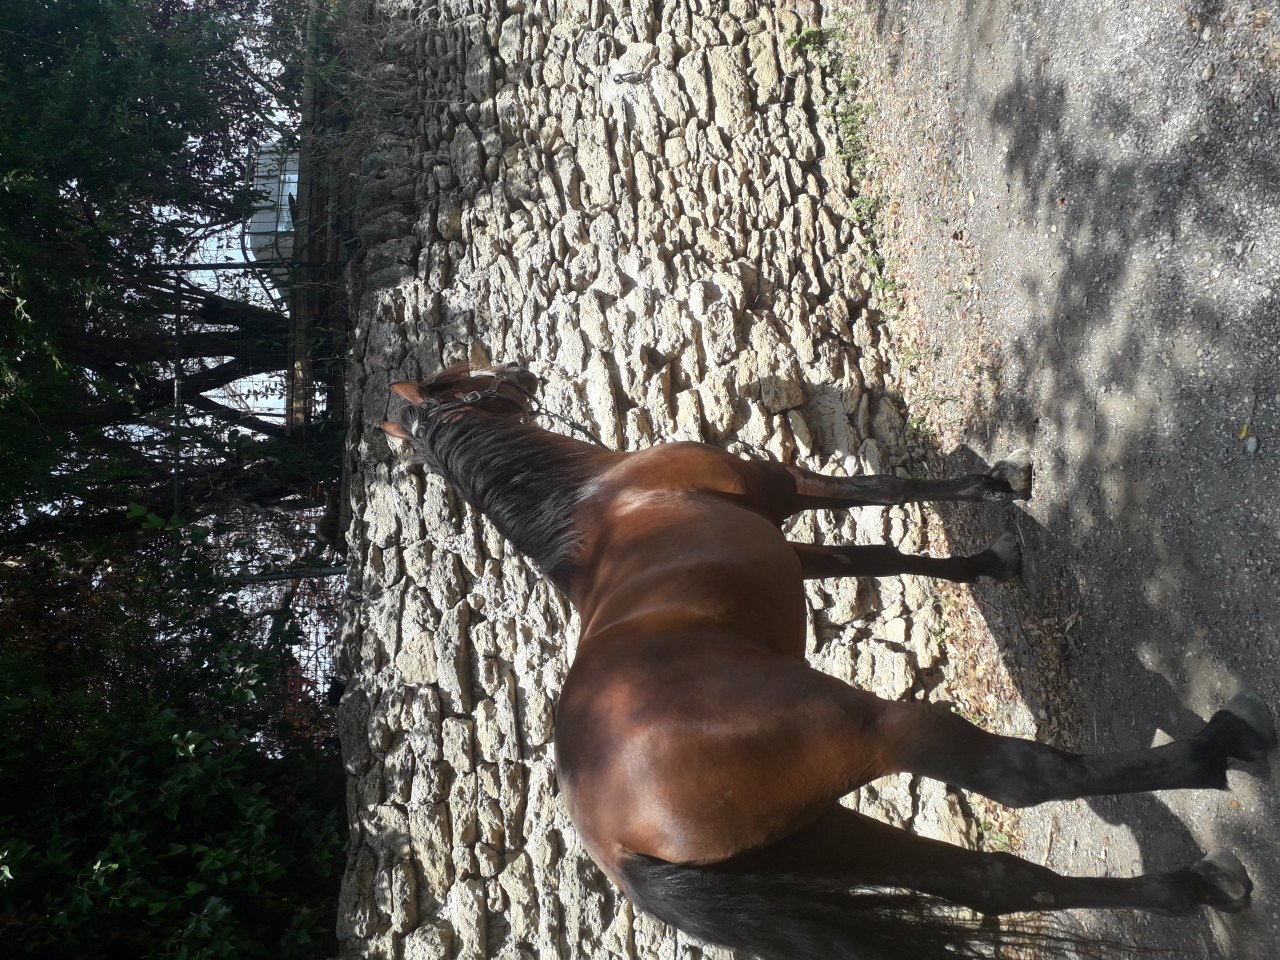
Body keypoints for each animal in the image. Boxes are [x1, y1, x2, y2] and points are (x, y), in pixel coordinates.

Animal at [381, 361, 1274, 959]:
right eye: (463, 377)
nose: (520, 371)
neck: (594, 504)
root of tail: (619, 847)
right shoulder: (779, 486)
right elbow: (877, 494)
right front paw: (994, 485)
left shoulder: (790, 548)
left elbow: (873, 554)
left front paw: (987, 561)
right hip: (871, 729)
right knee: (1020, 779)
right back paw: (1218, 750)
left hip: (819, 835)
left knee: (994, 882)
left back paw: (1199, 887)